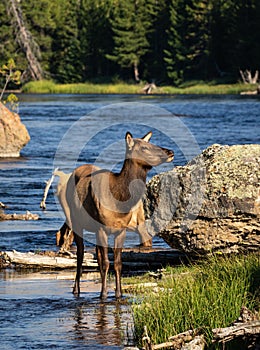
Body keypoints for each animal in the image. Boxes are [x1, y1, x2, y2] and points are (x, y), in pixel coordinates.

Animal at [66, 131, 174, 298]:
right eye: (144, 147)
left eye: (151, 143)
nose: (170, 152)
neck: (119, 200)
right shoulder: (102, 228)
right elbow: (106, 263)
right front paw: (103, 294)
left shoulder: (121, 230)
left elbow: (117, 263)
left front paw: (119, 293)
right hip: (75, 221)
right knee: (80, 254)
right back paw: (76, 289)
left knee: (96, 255)